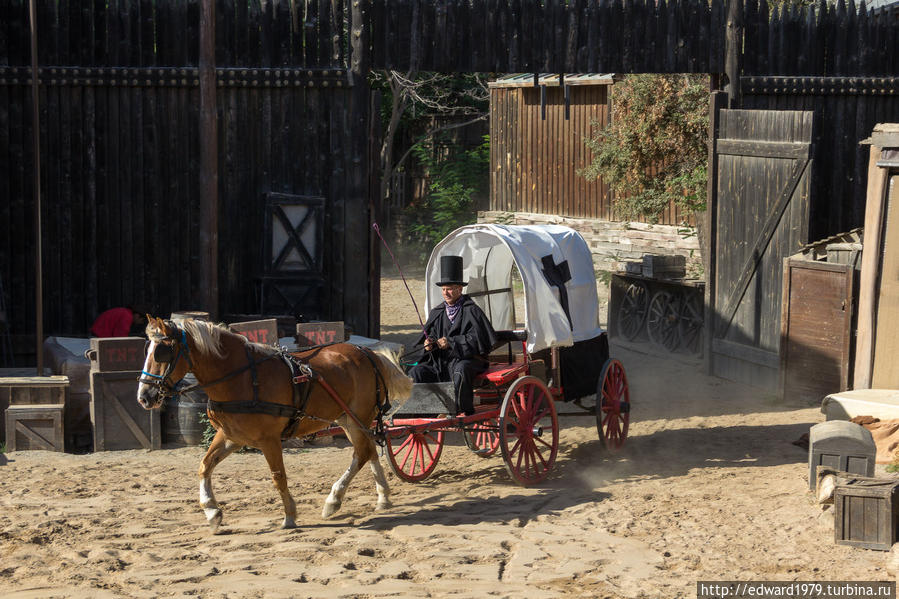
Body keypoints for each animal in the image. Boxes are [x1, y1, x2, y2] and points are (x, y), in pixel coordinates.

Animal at [136, 316, 414, 532]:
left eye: (162, 351)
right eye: (146, 350)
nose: (144, 397)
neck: (242, 378)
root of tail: (367, 352)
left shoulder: (268, 440)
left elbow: (278, 476)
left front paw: (289, 515)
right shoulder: (231, 436)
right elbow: (205, 466)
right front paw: (212, 512)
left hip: (357, 417)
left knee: (362, 453)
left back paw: (334, 500)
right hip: (348, 418)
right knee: (368, 450)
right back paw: (382, 497)